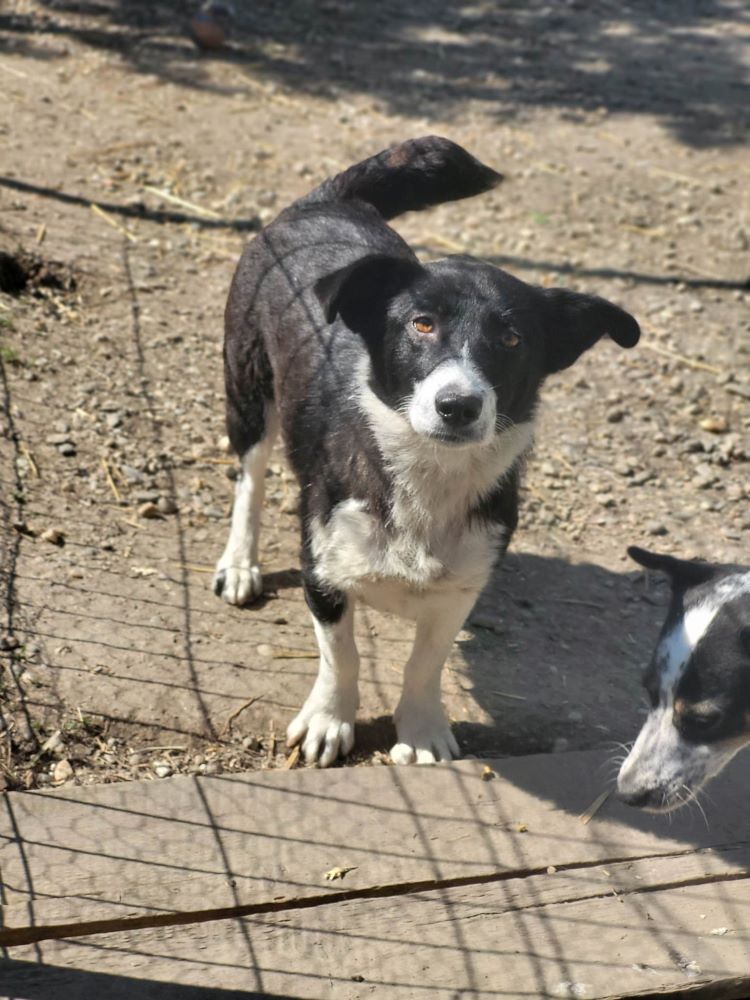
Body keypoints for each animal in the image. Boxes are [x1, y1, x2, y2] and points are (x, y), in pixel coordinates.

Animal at [213, 135, 640, 764]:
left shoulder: (462, 584)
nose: (457, 405)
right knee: (252, 478)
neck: (426, 473)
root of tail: (325, 202)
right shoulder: (324, 572)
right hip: (248, 388)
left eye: (512, 339)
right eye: (421, 324)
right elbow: (341, 656)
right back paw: (240, 563)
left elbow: (425, 662)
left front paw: (420, 730)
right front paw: (328, 720)